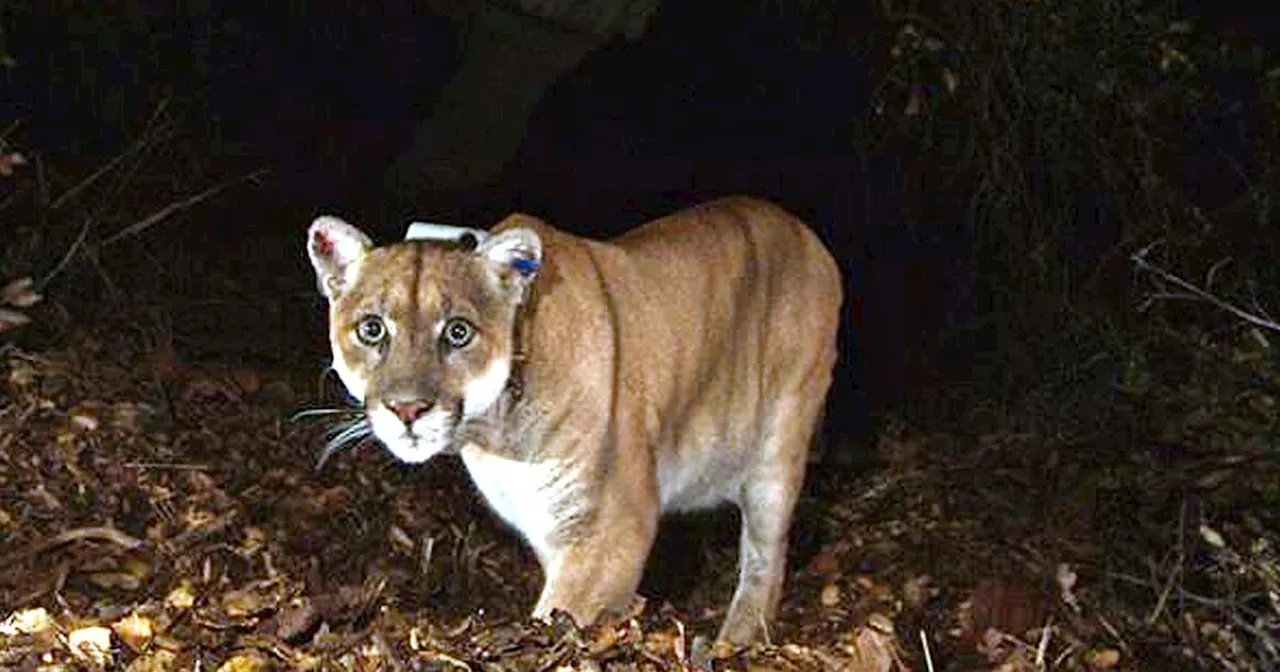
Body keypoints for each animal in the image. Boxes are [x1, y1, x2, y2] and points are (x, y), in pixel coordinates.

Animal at [302, 194, 839, 645]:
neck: (496, 434)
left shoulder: (613, 525)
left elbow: (561, 613)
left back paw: (737, 640)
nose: (408, 409)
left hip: (778, 449)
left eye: (458, 332)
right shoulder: (549, 525)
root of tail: (802, 229)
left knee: (766, 558)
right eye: (372, 329)